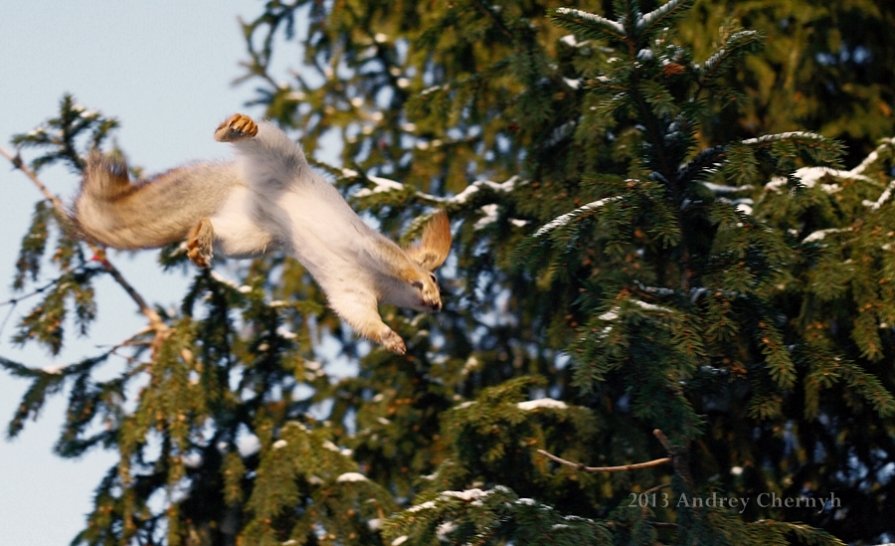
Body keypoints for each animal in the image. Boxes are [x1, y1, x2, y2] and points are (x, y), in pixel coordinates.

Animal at [76, 113, 452, 352]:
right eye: (436, 278)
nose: (438, 308)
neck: (380, 284)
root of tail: (244, 183)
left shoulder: (351, 291)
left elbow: (359, 316)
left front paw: (391, 339)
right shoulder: (367, 246)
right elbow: (395, 260)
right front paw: (417, 278)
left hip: (249, 235)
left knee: (219, 229)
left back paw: (201, 237)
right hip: (281, 157)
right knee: (263, 139)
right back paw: (237, 128)